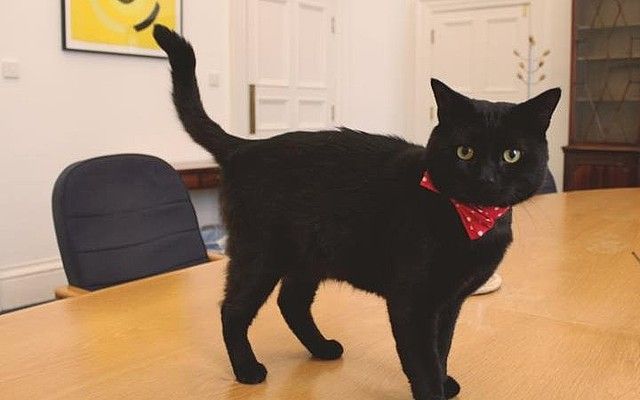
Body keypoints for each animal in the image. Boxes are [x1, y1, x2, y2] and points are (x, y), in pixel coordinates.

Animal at [153, 25, 560, 400]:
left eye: (512, 154)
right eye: (465, 152)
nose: (487, 178)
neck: (470, 222)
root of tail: (244, 147)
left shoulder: (450, 302)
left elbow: (442, 347)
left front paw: (445, 382)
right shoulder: (413, 301)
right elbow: (422, 359)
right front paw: (434, 390)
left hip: (309, 258)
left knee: (291, 303)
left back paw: (322, 348)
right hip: (261, 255)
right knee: (233, 309)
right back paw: (247, 370)